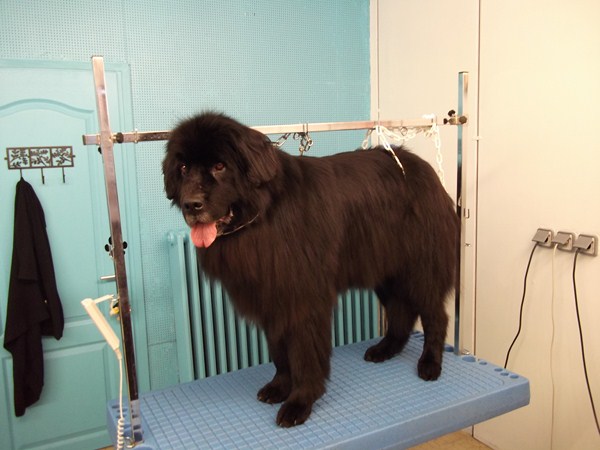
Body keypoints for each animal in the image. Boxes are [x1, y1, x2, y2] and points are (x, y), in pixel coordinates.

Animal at [163, 112, 459, 427]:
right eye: (183, 167)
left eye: (219, 166)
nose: (191, 204)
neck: (263, 215)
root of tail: (424, 170)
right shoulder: (272, 299)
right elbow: (280, 353)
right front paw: (279, 387)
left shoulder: (303, 299)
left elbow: (304, 354)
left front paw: (300, 402)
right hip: (385, 269)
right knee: (400, 311)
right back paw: (386, 349)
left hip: (420, 269)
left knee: (434, 316)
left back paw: (430, 363)